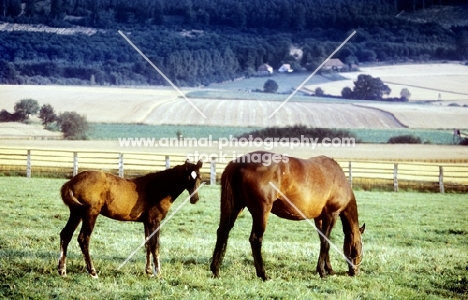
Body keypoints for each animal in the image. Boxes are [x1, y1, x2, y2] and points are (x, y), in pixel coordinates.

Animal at [57, 158, 203, 278]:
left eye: (200, 177)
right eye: (188, 177)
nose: (195, 199)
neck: (158, 187)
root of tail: (71, 182)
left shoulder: (147, 222)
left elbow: (147, 244)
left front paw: (149, 271)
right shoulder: (155, 221)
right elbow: (155, 245)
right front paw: (158, 272)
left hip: (76, 213)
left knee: (66, 234)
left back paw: (62, 270)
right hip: (90, 214)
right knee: (83, 239)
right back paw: (92, 271)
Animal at [211, 151, 366, 280]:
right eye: (359, 246)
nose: (355, 272)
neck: (338, 178)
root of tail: (237, 163)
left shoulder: (319, 219)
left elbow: (323, 241)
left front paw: (328, 269)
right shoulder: (331, 215)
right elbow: (326, 242)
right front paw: (322, 272)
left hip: (235, 207)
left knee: (223, 232)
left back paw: (215, 270)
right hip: (261, 211)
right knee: (255, 239)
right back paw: (263, 274)